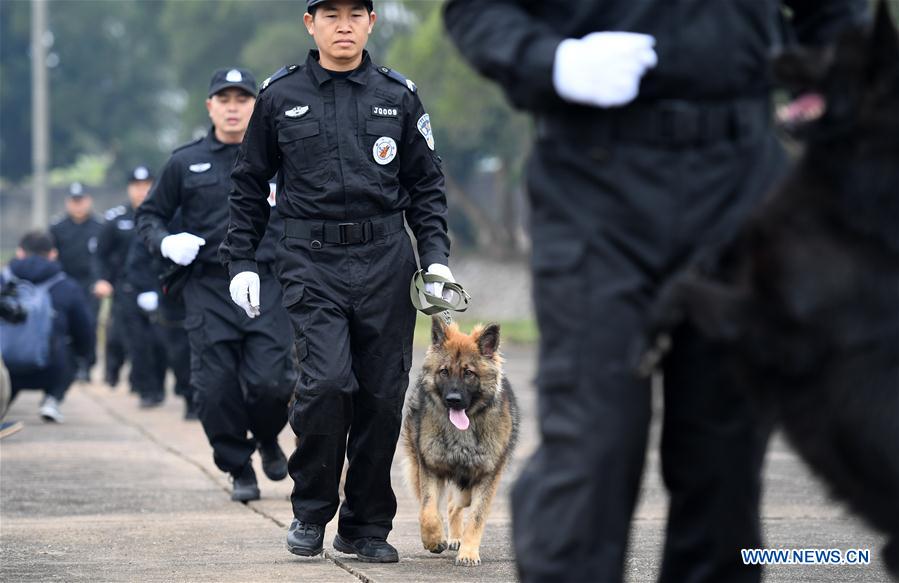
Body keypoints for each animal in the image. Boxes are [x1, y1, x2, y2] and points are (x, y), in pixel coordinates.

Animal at [402, 318, 520, 568]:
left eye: (469, 373)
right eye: (444, 371)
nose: (453, 400)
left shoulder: (487, 476)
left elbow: (476, 518)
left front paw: (468, 552)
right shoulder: (430, 468)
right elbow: (428, 511)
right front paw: (434, 539)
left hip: (468, 485)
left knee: (456, 504)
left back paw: (458, 539)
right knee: (446, 505)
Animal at [640, 4, 899, 576]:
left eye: (832, 51)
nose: (772, 52)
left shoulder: (781, 334)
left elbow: (688, 289)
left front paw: (655, 328)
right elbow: (710, 257)